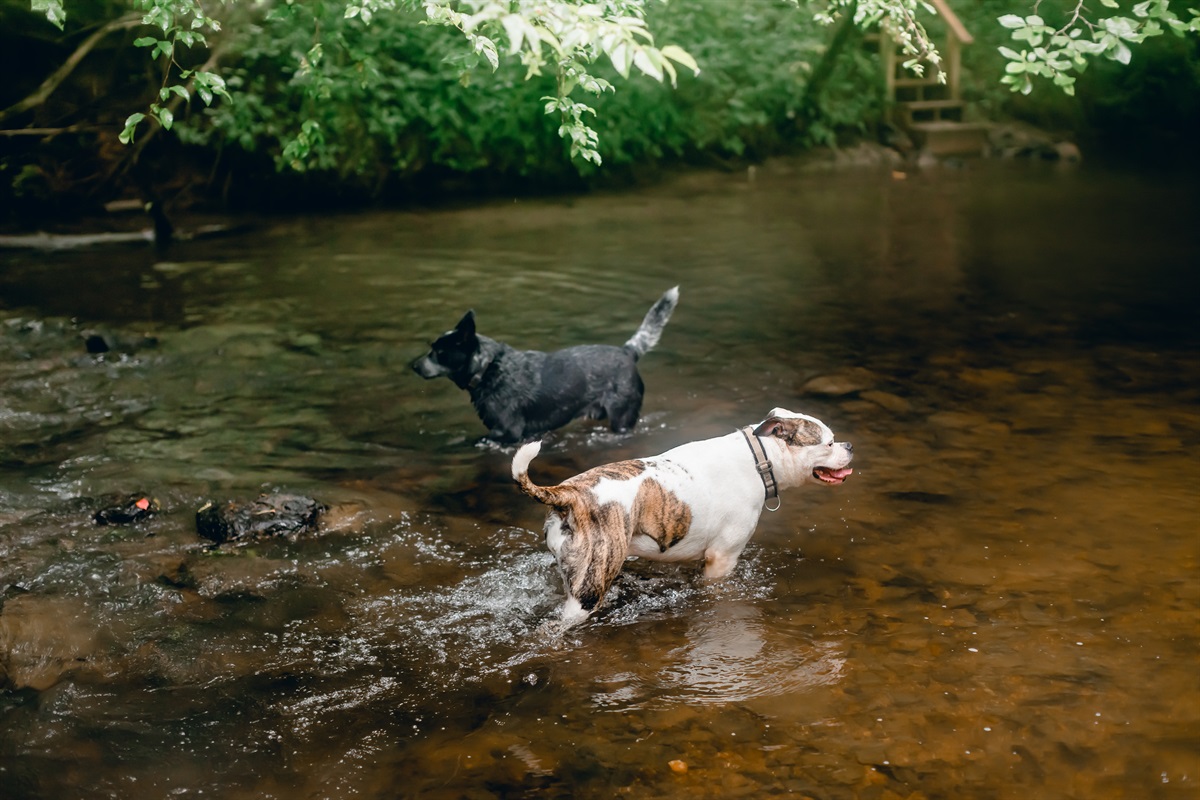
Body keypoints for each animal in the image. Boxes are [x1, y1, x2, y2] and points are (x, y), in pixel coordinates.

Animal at [410, 286, 676, 443]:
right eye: (431, 348)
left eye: (438, 352)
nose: (413, 365)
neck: (488, 369)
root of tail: (627, 351)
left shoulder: (508, 432)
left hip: (622, 418)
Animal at [513, 410, 854, 628]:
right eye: (828, 443)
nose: (849, 445)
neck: (760, 458)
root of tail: (569, 494)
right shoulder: (723, 559)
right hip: (589, 588)